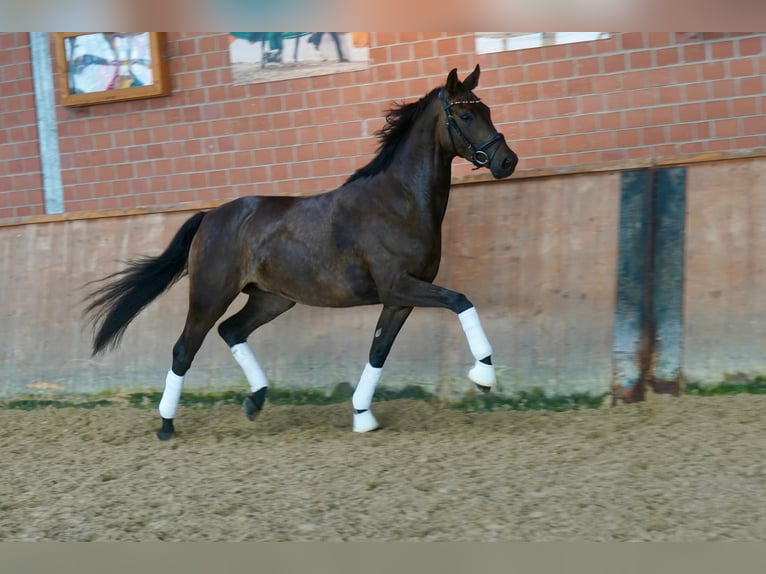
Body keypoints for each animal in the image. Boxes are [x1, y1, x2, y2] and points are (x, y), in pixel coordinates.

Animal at [84, 65, 520, 440]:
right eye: (466, 116)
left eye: (487, 110)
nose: (507, 161)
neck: (399, 202)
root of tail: (211, 216)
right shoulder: (399, 286)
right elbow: (460, 300)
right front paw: (484, 376)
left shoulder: (399, 298)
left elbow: (379, 350)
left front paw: (362, 416)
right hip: (210, 295)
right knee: (184, 349)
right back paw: (166, 425)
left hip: (273, 299)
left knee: (232, 331)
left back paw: (256, 400)